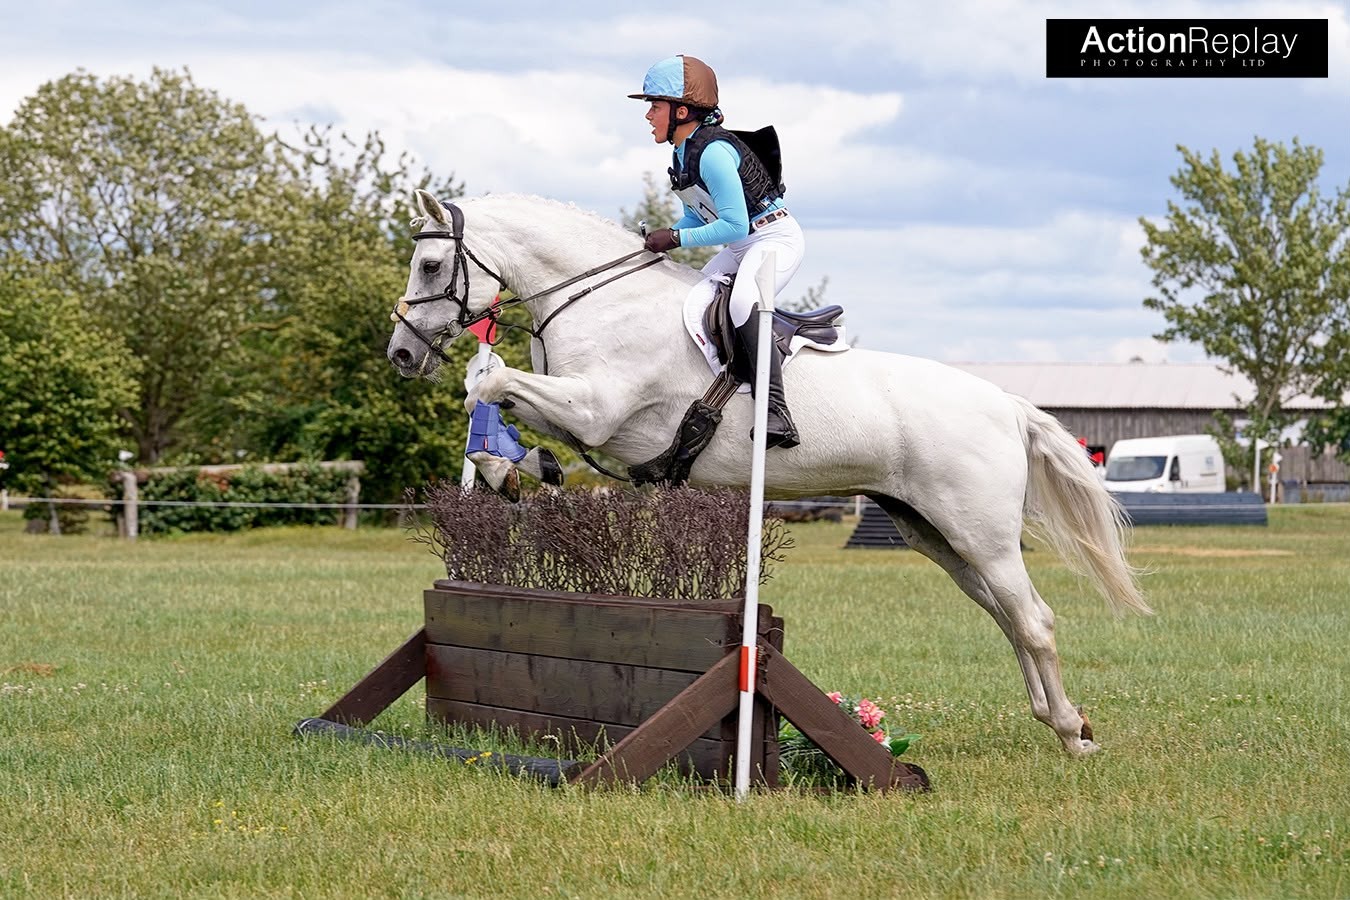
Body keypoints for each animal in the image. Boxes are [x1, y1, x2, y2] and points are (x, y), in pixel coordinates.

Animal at [386, 189, 1150, 757]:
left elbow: (489, 387)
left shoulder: (598, 410)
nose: (401, 353)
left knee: (1034, 619)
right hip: (937, 534)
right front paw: (508, 472)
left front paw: (503, 462)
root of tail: (1008, 405)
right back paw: (1065, 718)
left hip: (979, 532)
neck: (598, 301)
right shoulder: (587, 417)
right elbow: (504, 411)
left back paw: (1071, 736)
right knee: (1007, 615)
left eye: (430, 266)